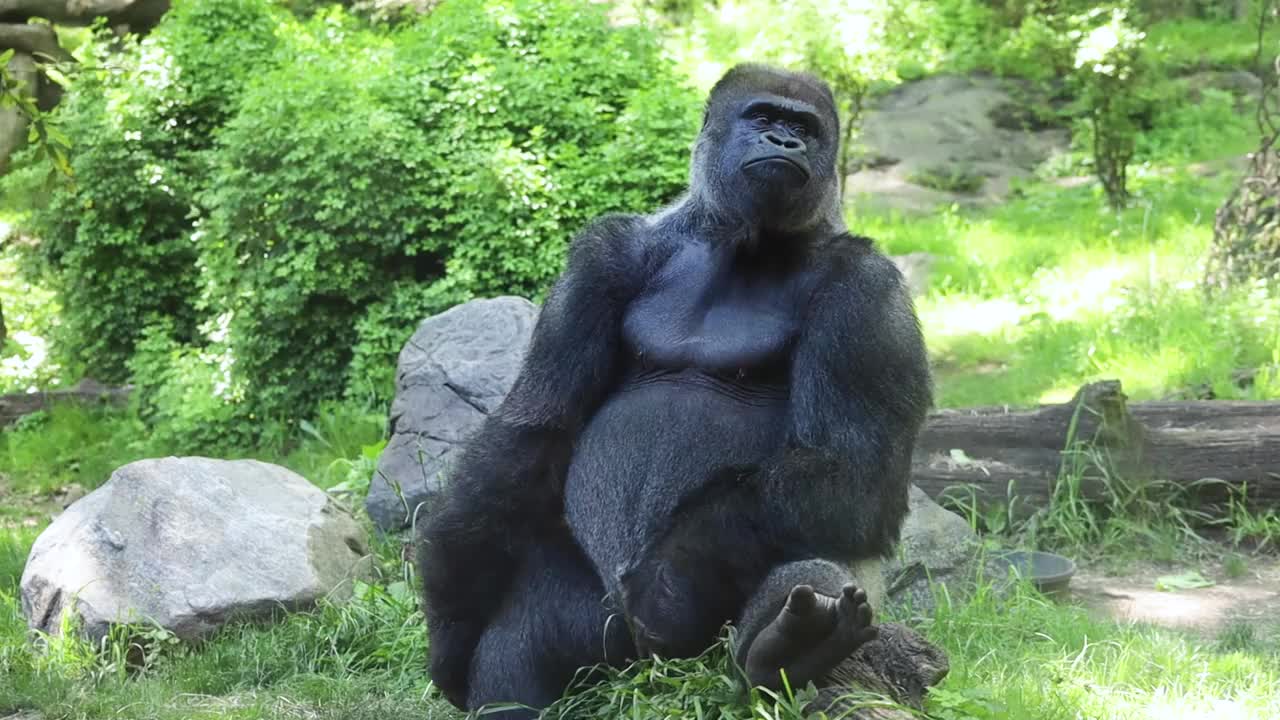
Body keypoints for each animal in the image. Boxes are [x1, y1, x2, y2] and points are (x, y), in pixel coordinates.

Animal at [419, 64, 931, 712]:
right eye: (764, 118)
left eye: (805, 129)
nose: (785, 143)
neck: (739, 240)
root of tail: (646, 674)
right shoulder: (603, 254)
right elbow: (534, 429)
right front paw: (452, 627)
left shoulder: (870, 293)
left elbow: (851, 470)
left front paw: (669, 589)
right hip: (598, 628)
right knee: (521, 645)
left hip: (692, 654)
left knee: (819, 544)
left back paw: (787, 650)